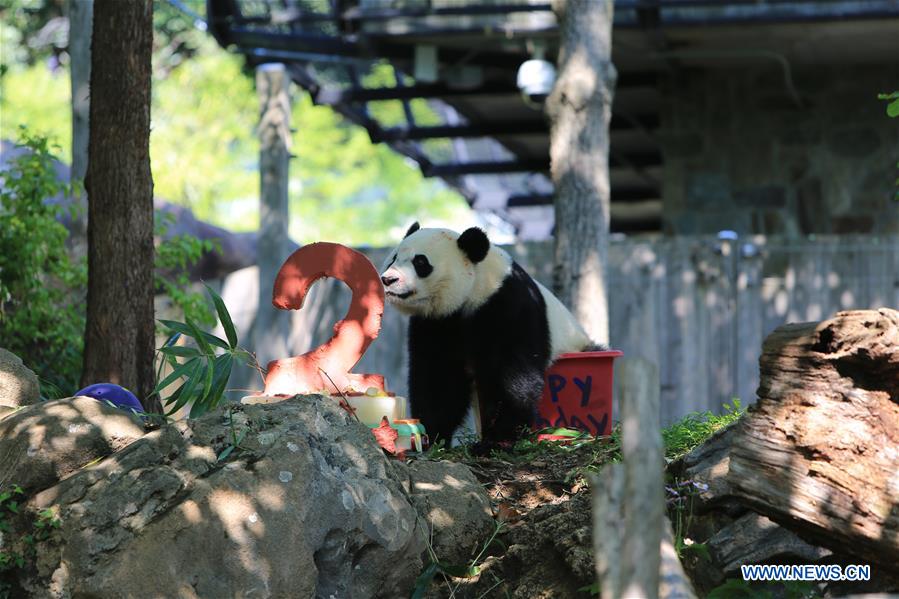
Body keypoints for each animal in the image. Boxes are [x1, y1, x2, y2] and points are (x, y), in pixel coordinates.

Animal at [380, 224, 596, 446]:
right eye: (394, 257)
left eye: (420, 262)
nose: (388, 279)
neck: (476, 288)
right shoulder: (437, 322)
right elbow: (437, 374)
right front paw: (431, 437)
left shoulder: (509, 304)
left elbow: (513, 373)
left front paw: (498, 439)